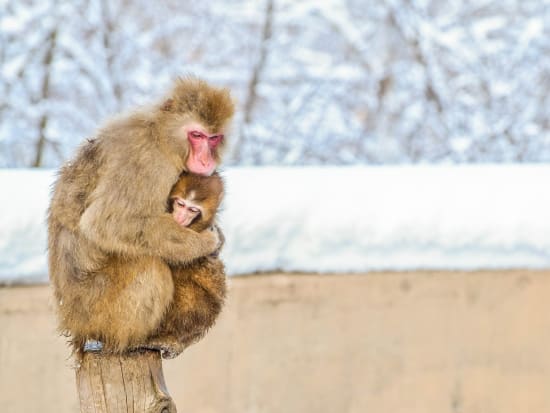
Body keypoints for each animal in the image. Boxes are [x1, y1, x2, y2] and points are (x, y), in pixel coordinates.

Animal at [47, 76, 235, 354]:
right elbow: (107, 223)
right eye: (196, 135)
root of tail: (70, 321)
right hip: (96, 310)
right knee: (150, 266)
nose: (206, 160)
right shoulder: (147, 164)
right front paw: (207, 243)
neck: (163, 137)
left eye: (213, 138)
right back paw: (136, 341)